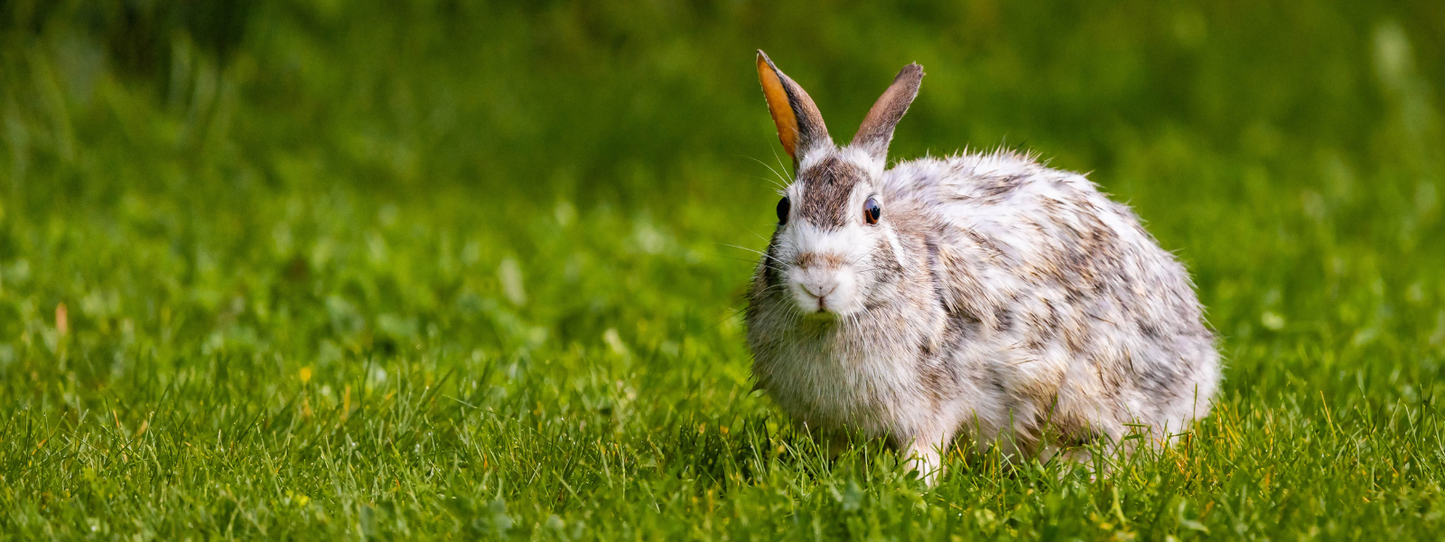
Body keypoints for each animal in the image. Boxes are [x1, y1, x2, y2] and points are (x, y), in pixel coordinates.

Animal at [745, 50, 1220, 484]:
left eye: (873, 211)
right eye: (783, 208)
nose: (818, 281)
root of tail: (1200, 352)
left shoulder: (935, 402)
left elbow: (925, 448)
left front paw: (915, 485)